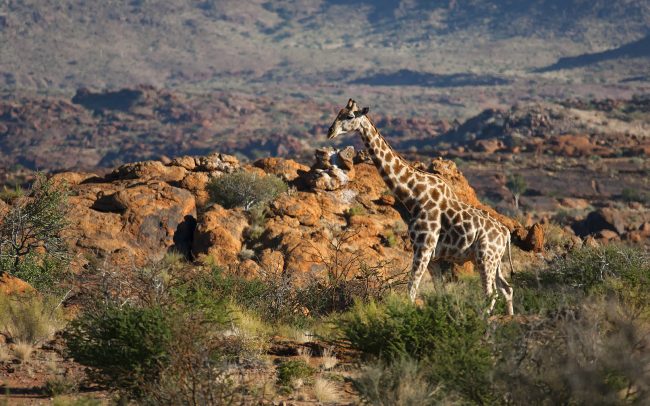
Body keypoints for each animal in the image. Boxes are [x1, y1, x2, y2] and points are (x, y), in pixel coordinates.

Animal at [326, 98, 512, 314]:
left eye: (349, 116)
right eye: (337, 113)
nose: (330, 131)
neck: (414, 196)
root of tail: (506, 234)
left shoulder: (423, 248)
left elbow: (411, 290)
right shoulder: (433, 257)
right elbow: (439, 293)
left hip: (485, 257)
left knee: (491, 293)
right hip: (493, 260)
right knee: (507, 288)